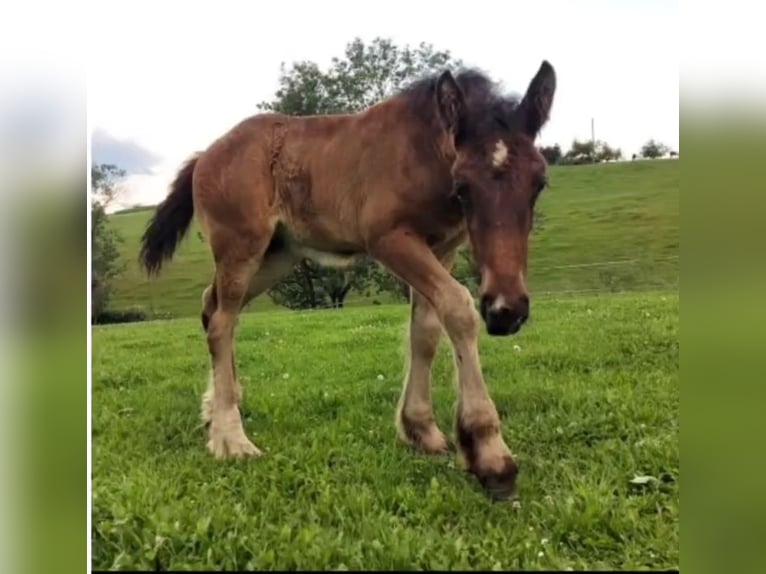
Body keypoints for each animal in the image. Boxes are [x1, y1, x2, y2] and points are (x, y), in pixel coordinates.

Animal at [140, 59, 560, 500]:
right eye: (462, 185)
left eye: (539, 182)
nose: (506, 310)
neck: (422, 151)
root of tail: (205, 155)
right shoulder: (389, 239)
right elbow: (459, 308)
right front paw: (490, 454)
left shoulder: (442, 247)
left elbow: (426, 329)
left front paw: (421, 429)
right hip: (241, 247)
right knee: (222, 322)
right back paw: (231, 437)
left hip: (277, 256)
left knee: (213, 305)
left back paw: (219, 408)